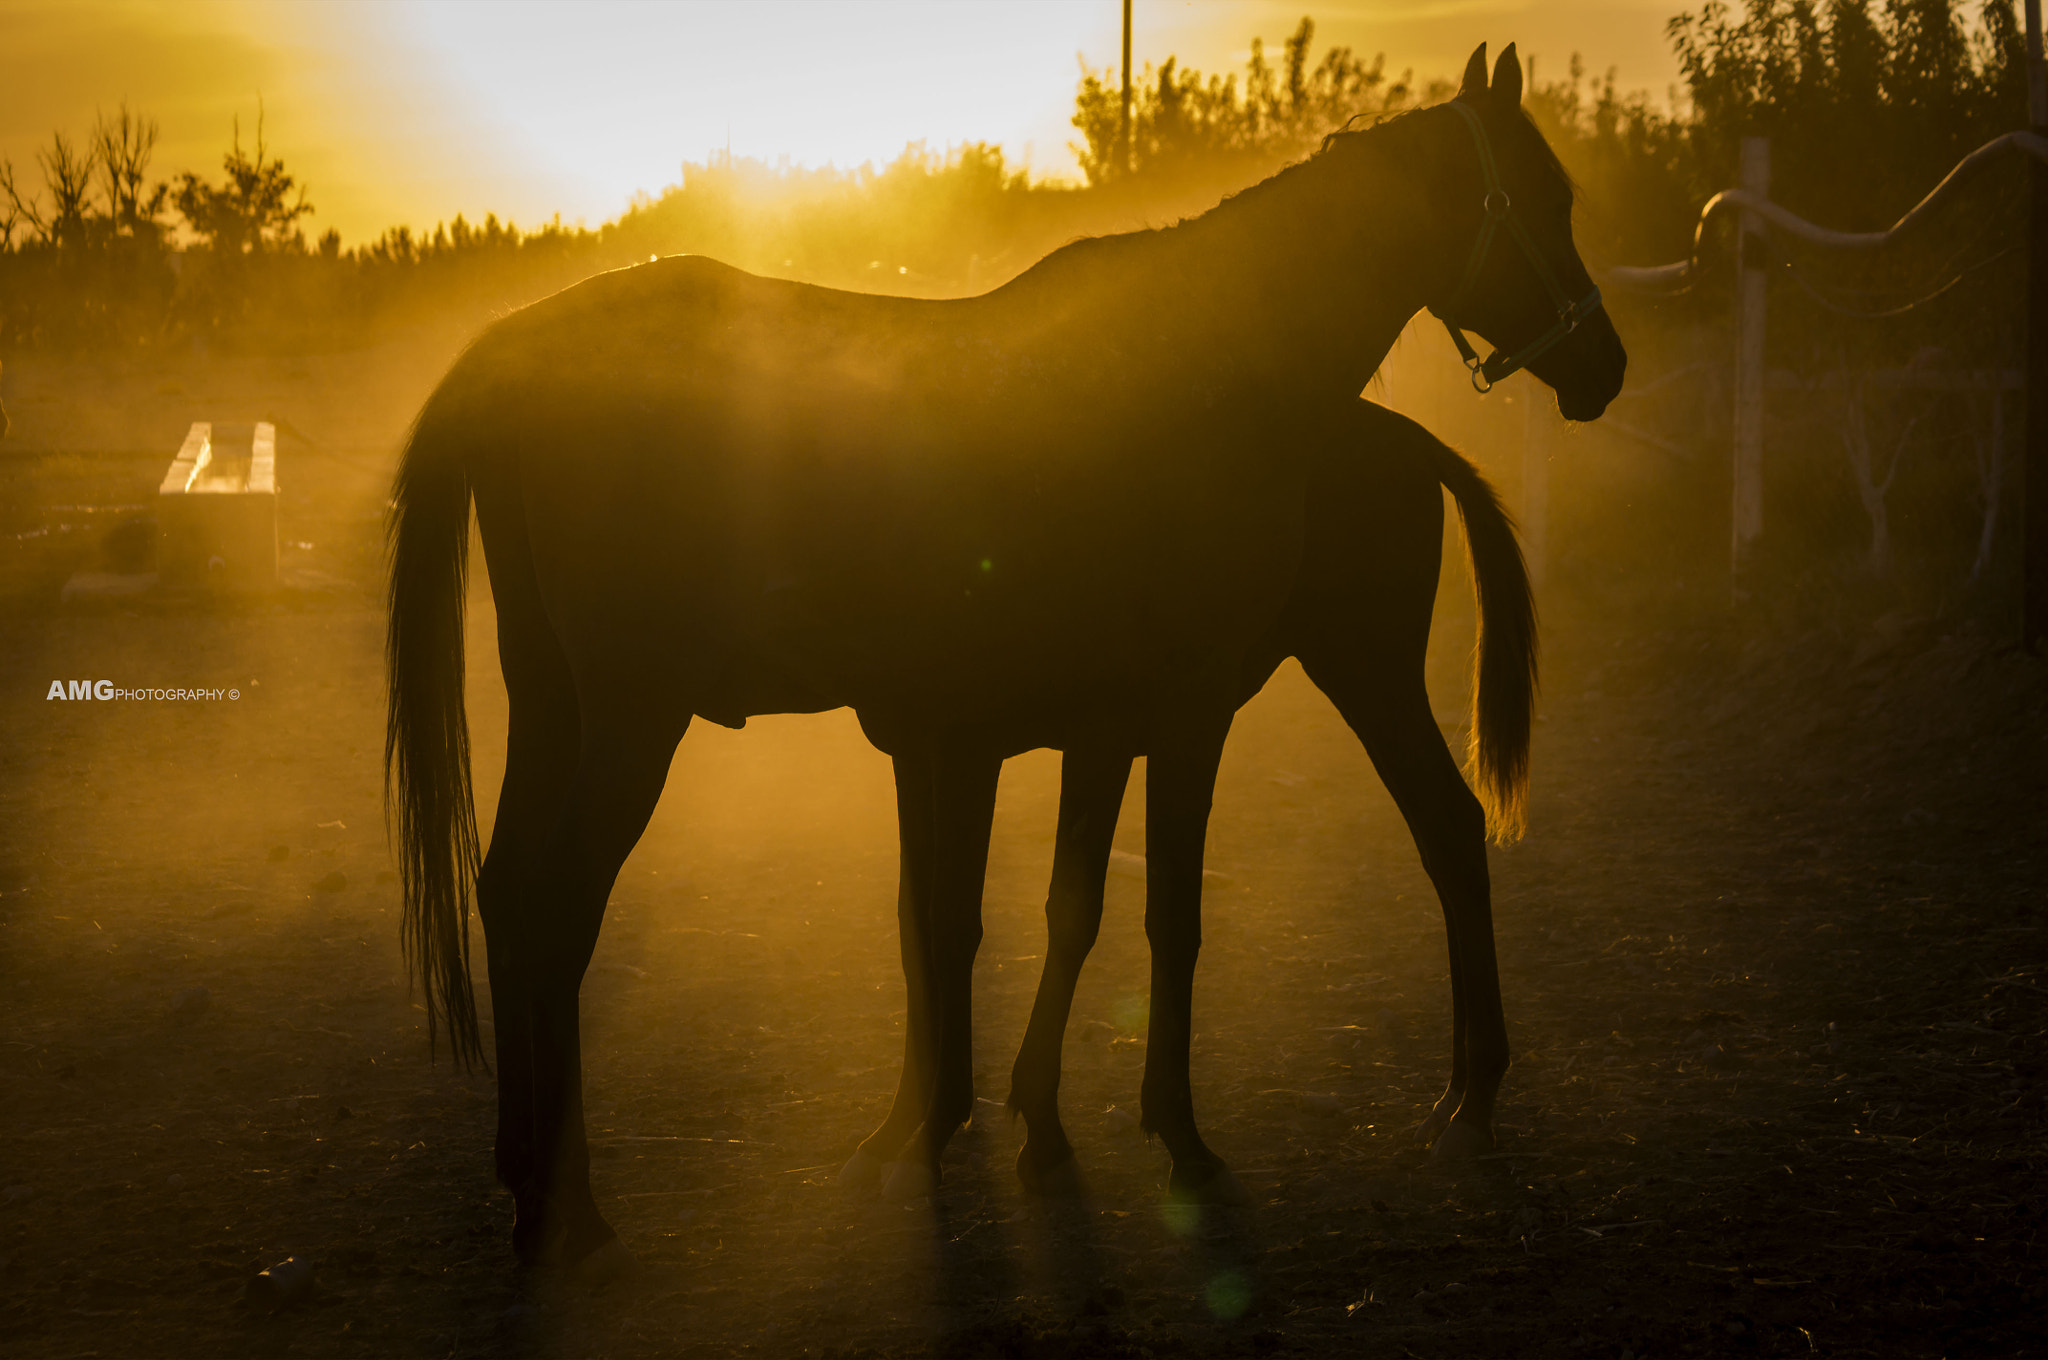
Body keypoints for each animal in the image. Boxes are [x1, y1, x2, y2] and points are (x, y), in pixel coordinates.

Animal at [391, 45, 1622, 1278]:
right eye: (1544, 199)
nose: (1602, 364)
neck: (1210, 373)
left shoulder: (1052, 730)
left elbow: (1014, 914)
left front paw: (1000, 1126)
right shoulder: (1167, 718)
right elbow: (1149, 919)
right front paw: (1167, 1138)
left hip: (557, 701)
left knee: (508, 891)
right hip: (636, 717)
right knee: (555, 904)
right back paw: (569, 1205)